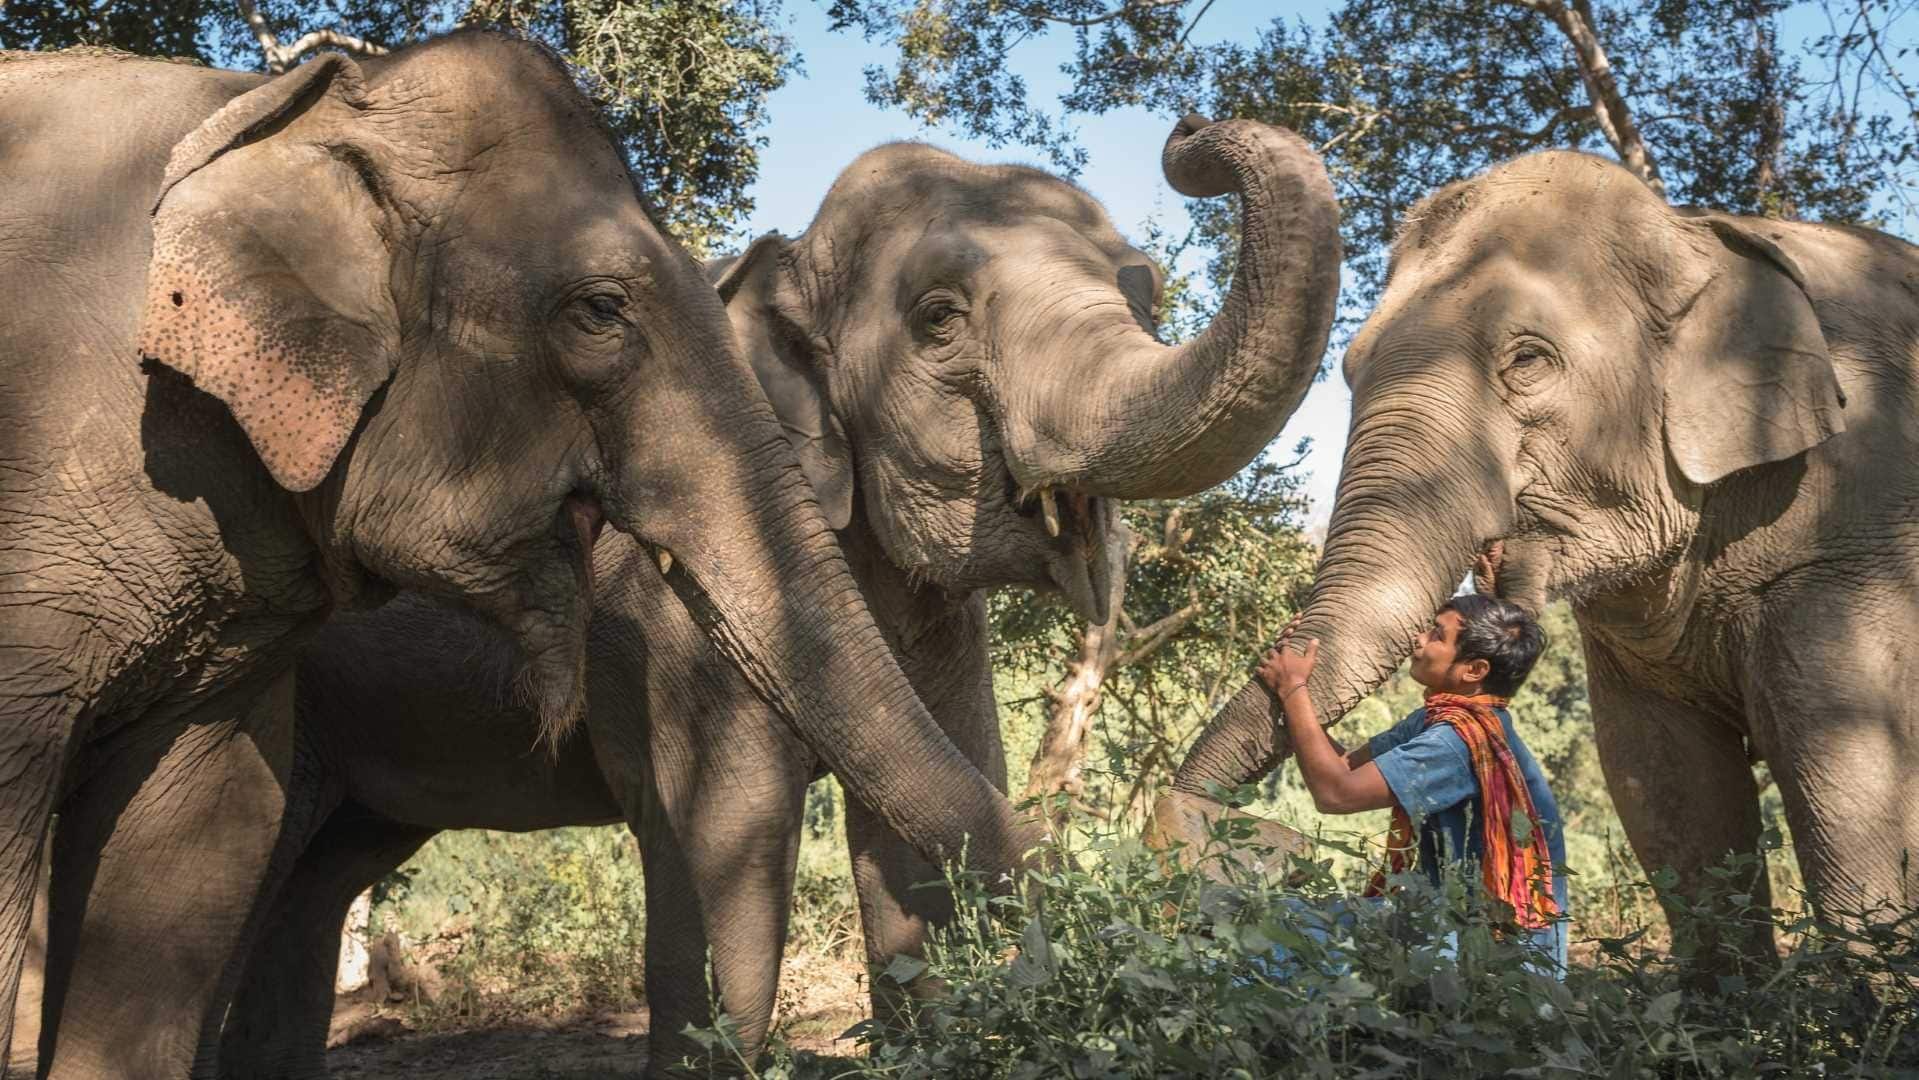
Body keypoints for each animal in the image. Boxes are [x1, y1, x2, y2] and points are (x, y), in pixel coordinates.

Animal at [194, 115, 1342, 1079]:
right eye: (937, 319)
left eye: (1145, 297)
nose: (1187, 134)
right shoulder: (661, 616)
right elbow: (723, 835)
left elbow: (933, 808)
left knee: (317, 883)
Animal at [1156, 149, 1919, 954]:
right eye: (1350, 368)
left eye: (1527, 360)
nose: (1201, 820)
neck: (1697, 235)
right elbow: (1664, 782)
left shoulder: (1854, 538)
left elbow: (1851, 785)